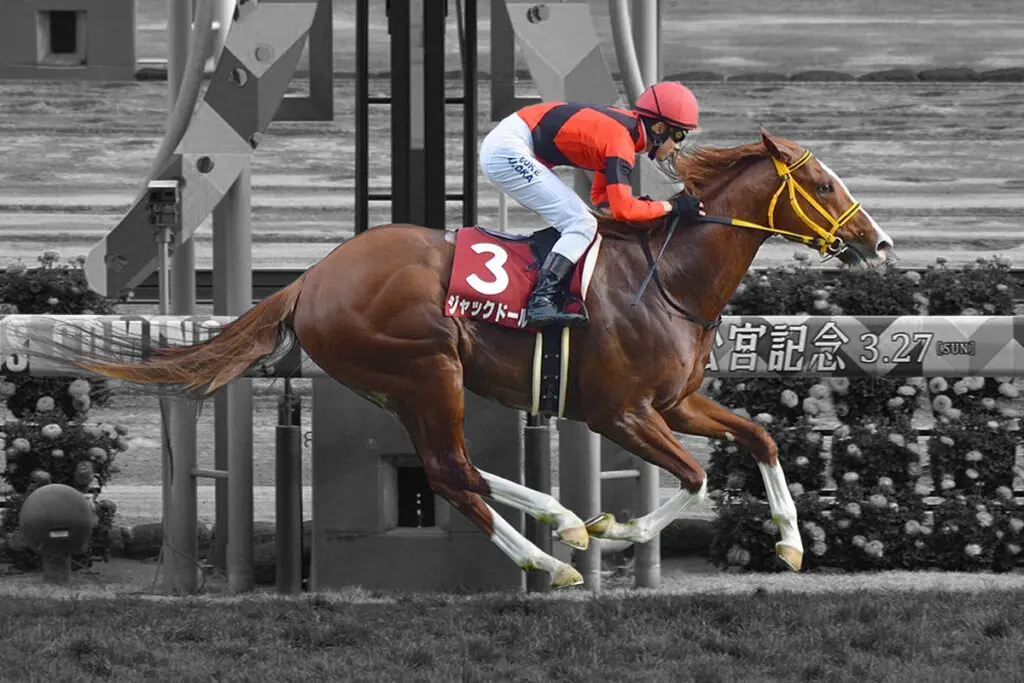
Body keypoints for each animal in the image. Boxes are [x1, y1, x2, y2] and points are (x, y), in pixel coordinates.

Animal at [68, 128, 892, 589]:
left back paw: (559, 527)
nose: (879, 242)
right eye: (822, 183)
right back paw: (557, 552)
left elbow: (761, 438)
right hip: (426, 369)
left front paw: (790, 543)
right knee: (452, 471)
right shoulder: (620, 412)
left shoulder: (675, 402)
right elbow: (692, 477)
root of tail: (309, 278)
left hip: (405, 384)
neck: (668, 278)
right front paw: (619, 530)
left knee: (452, 470)